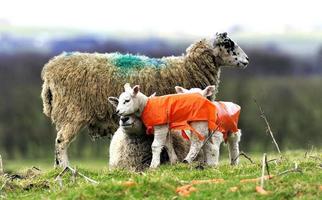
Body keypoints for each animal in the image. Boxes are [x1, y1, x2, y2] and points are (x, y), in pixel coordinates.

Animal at [41, 32, 249, 167]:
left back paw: (58, 168)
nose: (247, 60)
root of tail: (49, 70)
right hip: (72, 112)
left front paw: (173, 162)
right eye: (228, 44)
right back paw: (65, 168)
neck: (188, 68)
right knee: (61, 141)